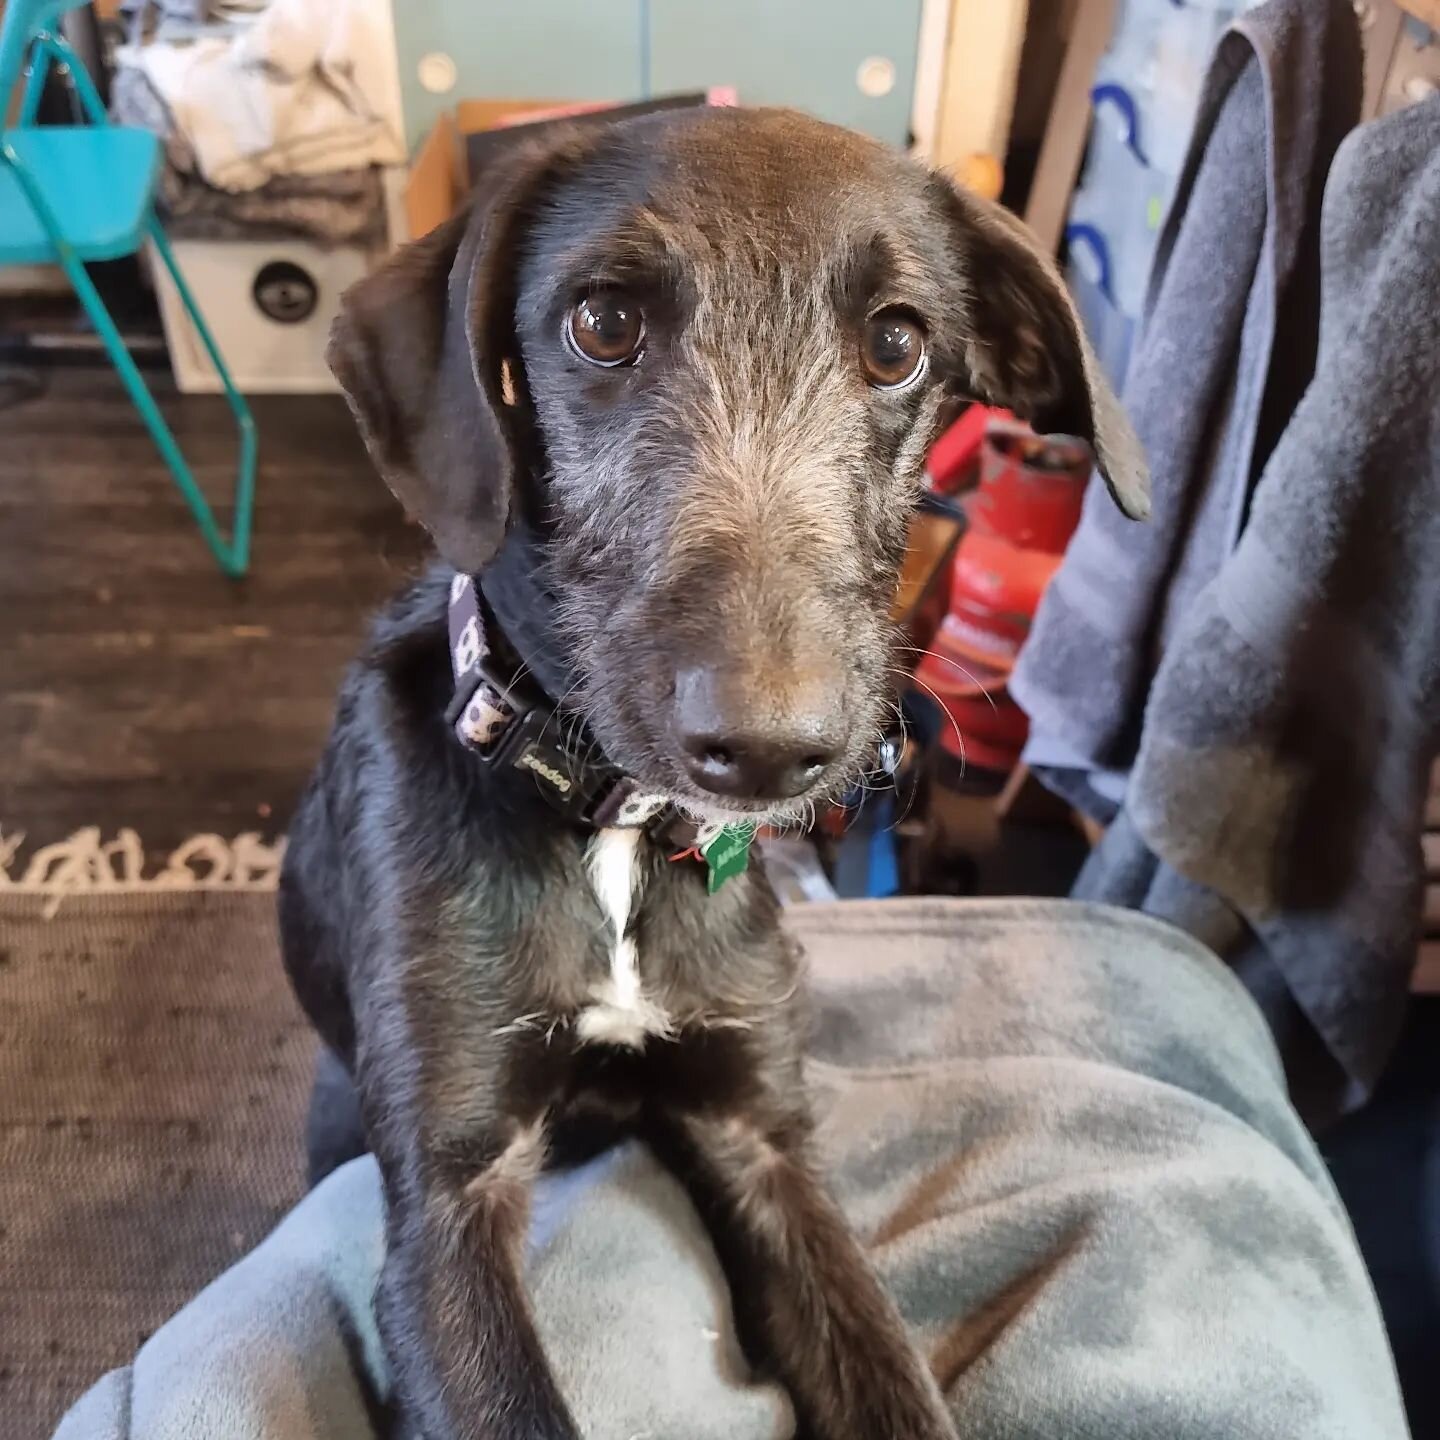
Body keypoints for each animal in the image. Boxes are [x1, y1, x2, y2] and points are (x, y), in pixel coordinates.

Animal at [275, 104, 1140, 1440]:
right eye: (603, 322)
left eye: (898, 345)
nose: (773, 746)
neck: (619, 838)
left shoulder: (759, 1138)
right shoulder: (448, 1207)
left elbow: (889, 1374)